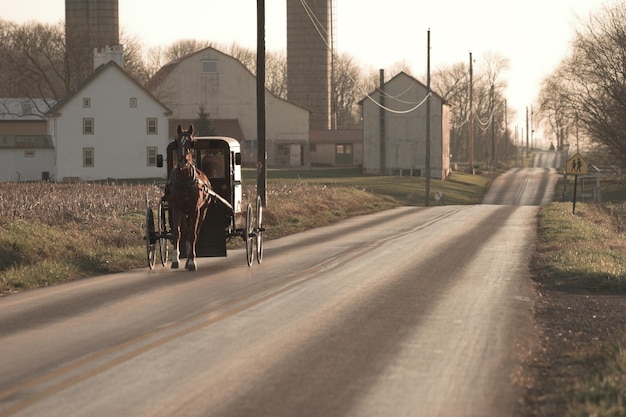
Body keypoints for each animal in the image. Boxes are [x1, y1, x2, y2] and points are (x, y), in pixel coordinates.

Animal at [163, 123, 212, 270]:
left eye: (192, 142)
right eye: (176, 141)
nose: (182, 161)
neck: (184, 181)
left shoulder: (194, 210)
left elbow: (192, 234)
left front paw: (191, 261)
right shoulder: (176, 209)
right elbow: (177, 233)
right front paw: (175, 260)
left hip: (203, 211)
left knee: (194, 232)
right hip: (183, 212)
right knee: (185, 231)